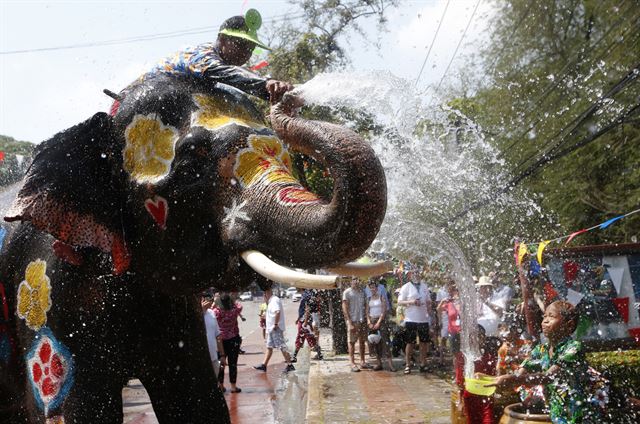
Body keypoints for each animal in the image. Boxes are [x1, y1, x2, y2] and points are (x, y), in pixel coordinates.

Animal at [0, 73, 384, 424]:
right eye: (190, 164)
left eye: (287, 158)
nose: (283, 93)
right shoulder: (48, 294)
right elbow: (75, 410)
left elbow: (198, 401)